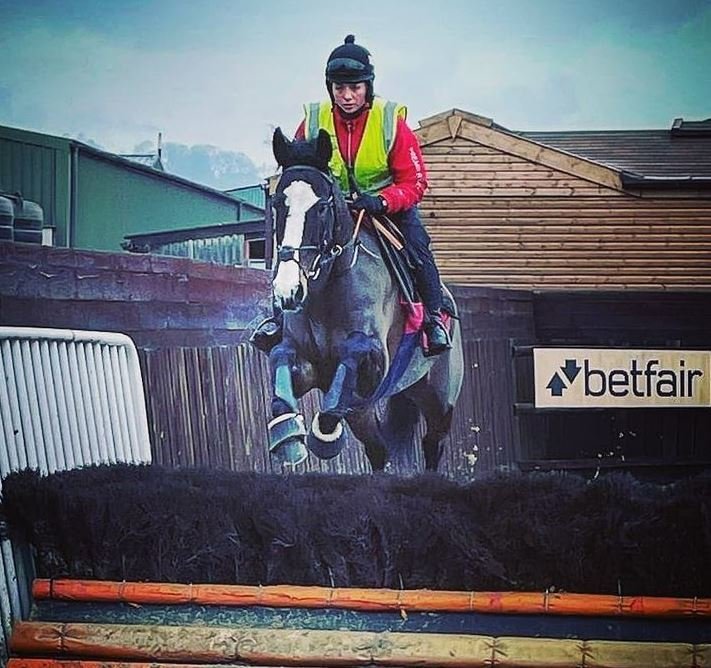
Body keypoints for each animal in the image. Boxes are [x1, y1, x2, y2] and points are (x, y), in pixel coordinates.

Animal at [264, 128, 464, 472]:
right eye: (278, 203)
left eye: (321, 207)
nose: (288, 290)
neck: (329, 287)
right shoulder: (302, 359)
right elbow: (281, 365)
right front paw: (288, 437)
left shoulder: (371, 361)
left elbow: (333, 405)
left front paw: (322, 437)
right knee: (378, 449)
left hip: (440, 401)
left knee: (431, 444)